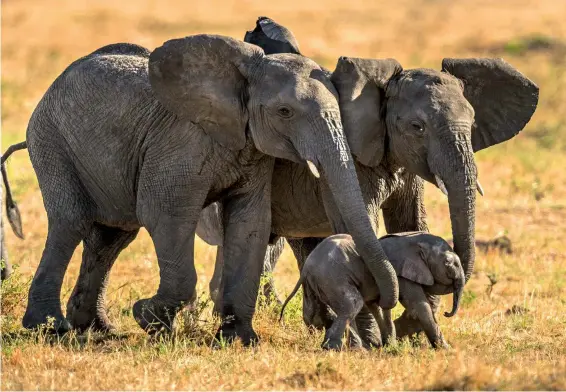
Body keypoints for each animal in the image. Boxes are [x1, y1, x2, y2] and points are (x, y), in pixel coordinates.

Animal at [8, 32, 400, 344]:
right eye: (285, 112)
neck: (245, 74)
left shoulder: (252, 151)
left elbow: (250, 223)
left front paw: (240, 340)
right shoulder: (180, 141)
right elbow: (166, 214)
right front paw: (148, 319)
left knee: (111, 238)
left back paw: (98, 329)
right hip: (52, 139)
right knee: (70, 222)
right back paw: (50, 327)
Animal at [200, 17, 540, 334]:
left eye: (471, 123)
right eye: (417, 127)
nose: (447, 312)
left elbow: (411, 223)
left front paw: (410, 329)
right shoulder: (353, 159)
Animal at [280, 231, 466, 350]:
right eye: (449, 263)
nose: (447, 313)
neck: (412, 242)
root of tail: (306, 269)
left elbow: (377, 306)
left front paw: (390, 347)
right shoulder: (401, 274)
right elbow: (419, 306)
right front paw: (446, 350)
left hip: (316, 284)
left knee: (315, 312)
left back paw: (356, 349)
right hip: (333, 278)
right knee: (353, 304)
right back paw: (334, 348)